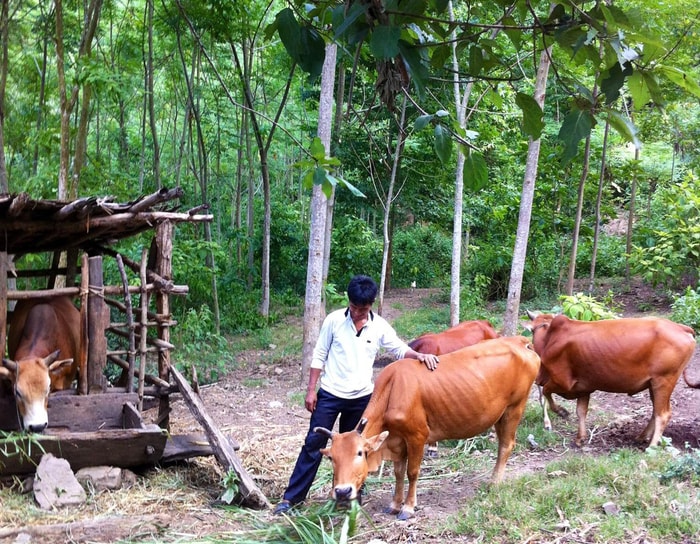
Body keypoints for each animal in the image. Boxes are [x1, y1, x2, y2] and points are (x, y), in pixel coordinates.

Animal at [314, 336, 540, 520]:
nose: (342, 492)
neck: (392, 391)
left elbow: (412, 472)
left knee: (506, 445)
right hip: (501, 414)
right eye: (331, 457)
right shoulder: (397, 441)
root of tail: (520, 341)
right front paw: (394, 504)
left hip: (515, 407)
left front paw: (408, 507)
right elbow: (398, 473)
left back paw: (494, 483)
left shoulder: (417, 436)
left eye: (360, 453)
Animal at [524, 310, 696, 446]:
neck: (550, 338)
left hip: (663, 381)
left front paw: (560, 412)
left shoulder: (562, 382)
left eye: (532, 331)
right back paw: (641, 437)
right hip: (653, 384)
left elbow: (546, 393)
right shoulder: (584, 388)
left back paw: (652, 446)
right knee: (655, 411)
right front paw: (580, 438)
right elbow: (581, 411)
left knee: (663, 414)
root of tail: (681, 327)